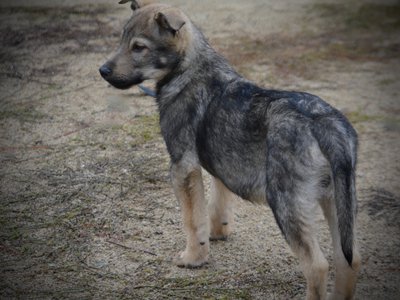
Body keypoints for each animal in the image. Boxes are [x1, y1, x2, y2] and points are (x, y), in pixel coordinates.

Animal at [99, 1, 360, 298]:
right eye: (121, 40)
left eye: (139, 47)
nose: (103, 71)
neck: (190, 68)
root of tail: (325, 122)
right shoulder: (221, 165)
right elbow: (217, 204)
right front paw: (217, 233)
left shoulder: (182, 166)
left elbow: (192, 220)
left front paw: (194, 257)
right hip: (338, 202)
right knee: (349, 259)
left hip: (288, 205)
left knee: (317, 266)